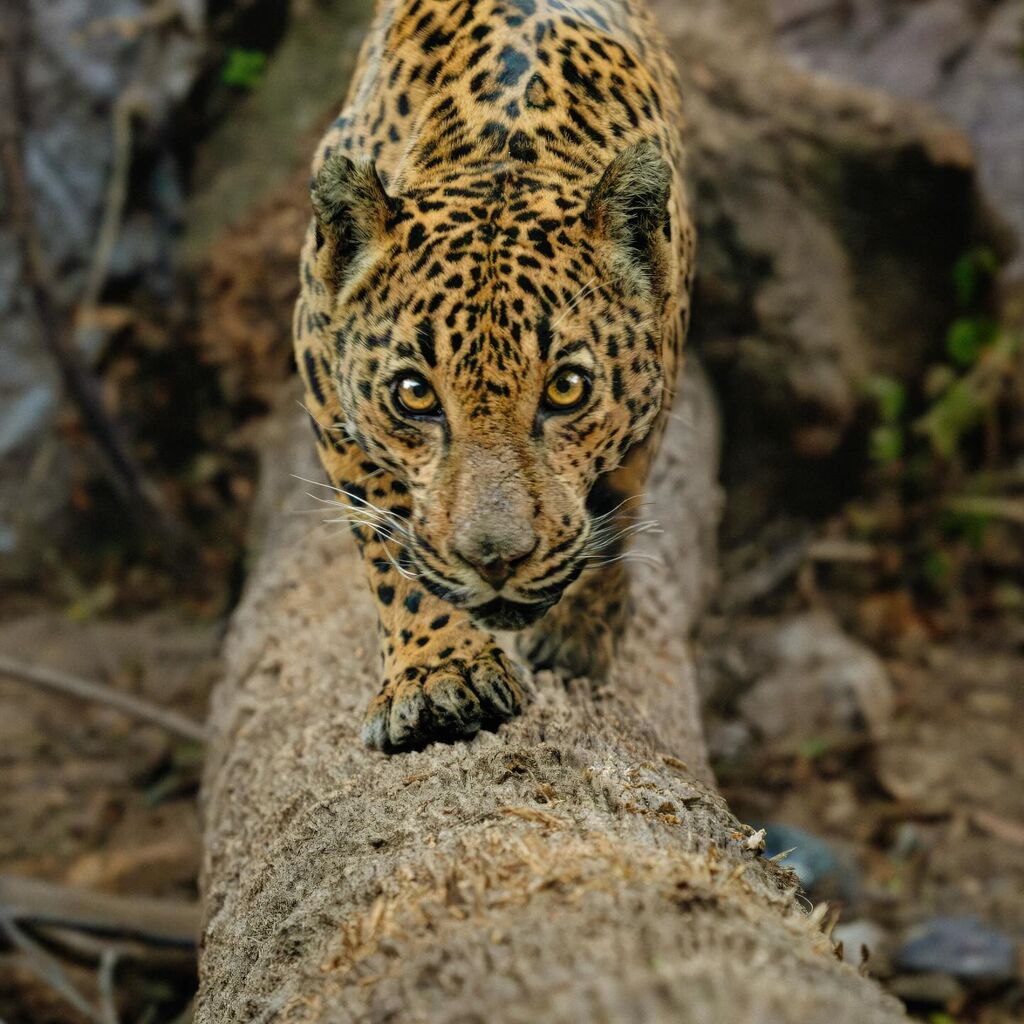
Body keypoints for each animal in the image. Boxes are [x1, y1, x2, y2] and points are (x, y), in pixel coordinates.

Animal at [293, 0, 695, 753]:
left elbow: (620, 496)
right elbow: (390, 539)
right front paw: (437, 676)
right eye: (414, 395)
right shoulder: (322, 377)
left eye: (567, 389)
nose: (495, 561)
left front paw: (580, 627)